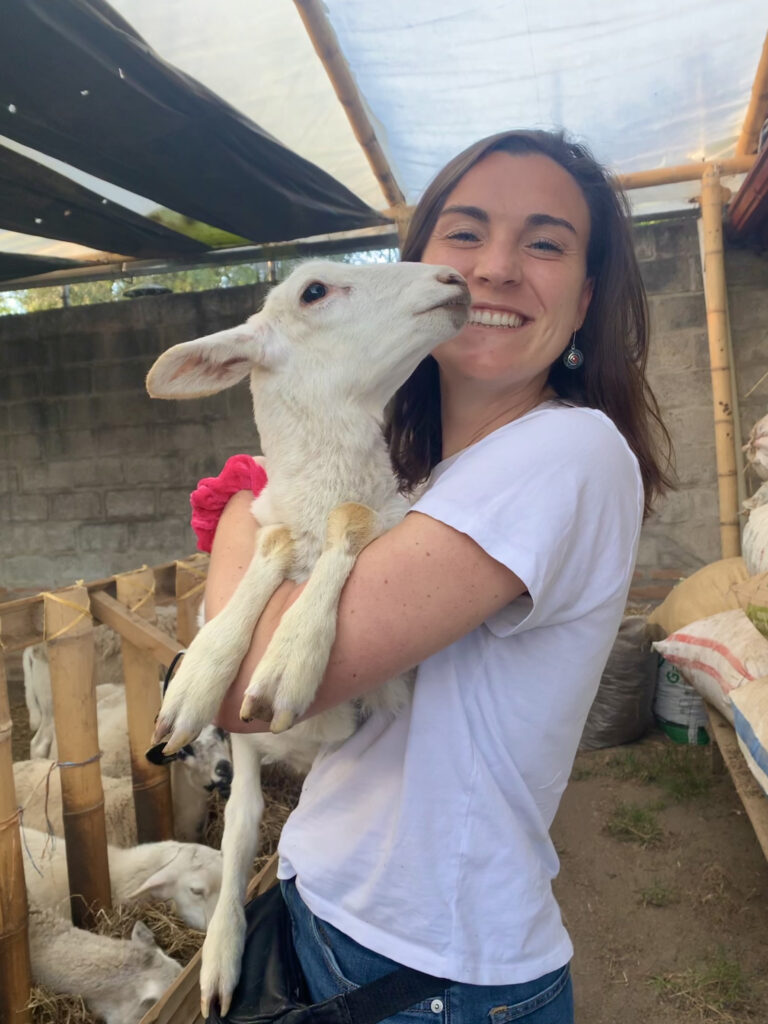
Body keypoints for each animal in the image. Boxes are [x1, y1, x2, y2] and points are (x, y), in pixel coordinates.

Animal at [143, 258, 468, 1015]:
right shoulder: (241, 747)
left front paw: (292, 653)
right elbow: (239, 831)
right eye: (314, 291)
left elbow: (353, 519)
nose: (455, 278)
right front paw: (220, 958)